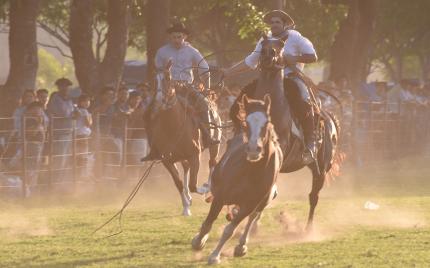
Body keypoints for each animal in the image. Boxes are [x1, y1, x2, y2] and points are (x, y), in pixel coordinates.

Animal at [148, 60, 222, 216]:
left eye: (167, 77)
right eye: (153, 81)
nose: (159, 100)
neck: (173, 127)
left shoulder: (195, 155)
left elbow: (194, 184)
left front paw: (204, 189)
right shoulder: (167, 161)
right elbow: (179, 183)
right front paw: (186, 206)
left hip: (215, 145)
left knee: (212, 163)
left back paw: (209, 188)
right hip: (181, 156)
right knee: (186, 168)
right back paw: (188, 199)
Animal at [191, 94, 282, 264]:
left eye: (266, 123)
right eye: (246, 123)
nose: (253, 149)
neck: (251, 172)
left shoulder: (250, 204)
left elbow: (230, 229)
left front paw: (215, 255)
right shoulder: (220, 197)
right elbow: (209, 222)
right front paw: (198, 241)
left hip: (262, 201)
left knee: (253, 217)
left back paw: (241, 246)